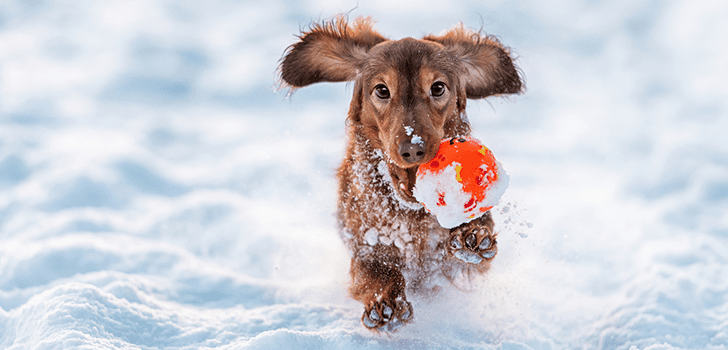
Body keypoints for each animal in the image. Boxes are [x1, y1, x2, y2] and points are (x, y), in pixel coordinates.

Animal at [278, 16, 524, 332]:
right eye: (382, 90)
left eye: (438, 87)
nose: (413, 149)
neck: (410, 209)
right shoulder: (365, 241)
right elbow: (376, 270)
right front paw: (386, 303)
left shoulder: (454, 263)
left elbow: (473, 245)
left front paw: (472, 235)